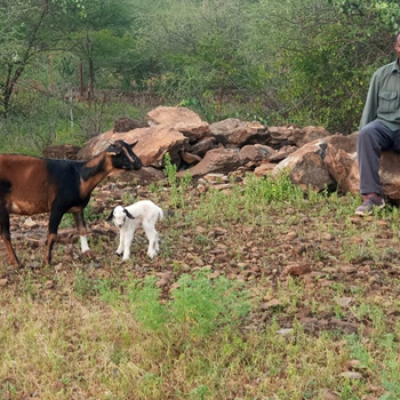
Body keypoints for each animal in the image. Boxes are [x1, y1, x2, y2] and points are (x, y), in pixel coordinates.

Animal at [0, 139, 142, 268]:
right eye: (121, 153)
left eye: (131, 149)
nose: (139, 163)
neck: (80, 175)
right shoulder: (57, 207)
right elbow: (52, 234)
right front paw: (47, 261)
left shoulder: (78, 209)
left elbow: (83, 229)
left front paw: (87, 253)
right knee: (5, 235)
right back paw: (16, 263)